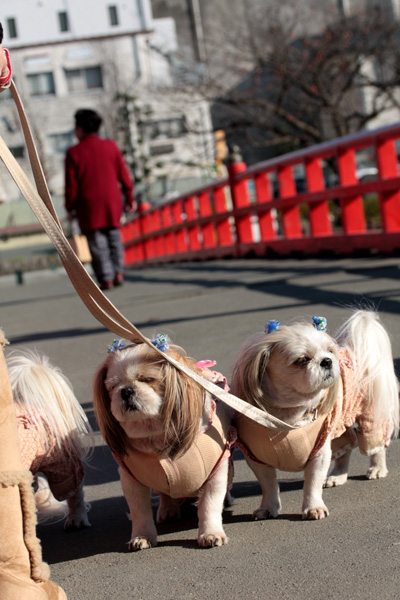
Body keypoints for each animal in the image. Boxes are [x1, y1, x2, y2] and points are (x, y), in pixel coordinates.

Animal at [93, 336, 238, 552]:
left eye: (147, 379)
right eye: (113, 387)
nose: (126, 391)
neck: (156, 436)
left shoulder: (217, 469)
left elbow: (209, 504)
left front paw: (211, 533)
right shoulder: (131, 480)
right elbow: (140, 512)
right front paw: (142, 536)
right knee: (165, 493)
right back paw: (168, 509)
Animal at [230, 312, 398, 524]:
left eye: (329, 351)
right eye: (302, 360)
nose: (327, 360)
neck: (288, 417)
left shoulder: (318, 453)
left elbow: (312, 484)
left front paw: (314, 508)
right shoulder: (257, 458)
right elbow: (269, 485)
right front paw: (267, 507)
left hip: (370, 414)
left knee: (374, 444)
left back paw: (377, 468)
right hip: (336, 426)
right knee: (345, 447)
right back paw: (338, 475)